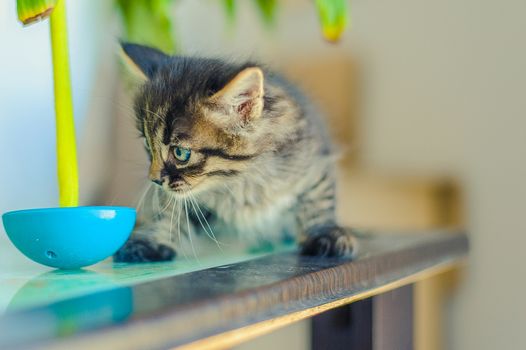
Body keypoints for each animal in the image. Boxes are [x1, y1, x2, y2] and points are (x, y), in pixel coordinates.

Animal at [113, 42, 356, 262]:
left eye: (180, 153)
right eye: (148, 146)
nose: (153, 180)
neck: (239, 181)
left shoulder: (313, 159)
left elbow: (319, 200)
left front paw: (325, 233)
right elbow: (170, 210)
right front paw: (152, 239)